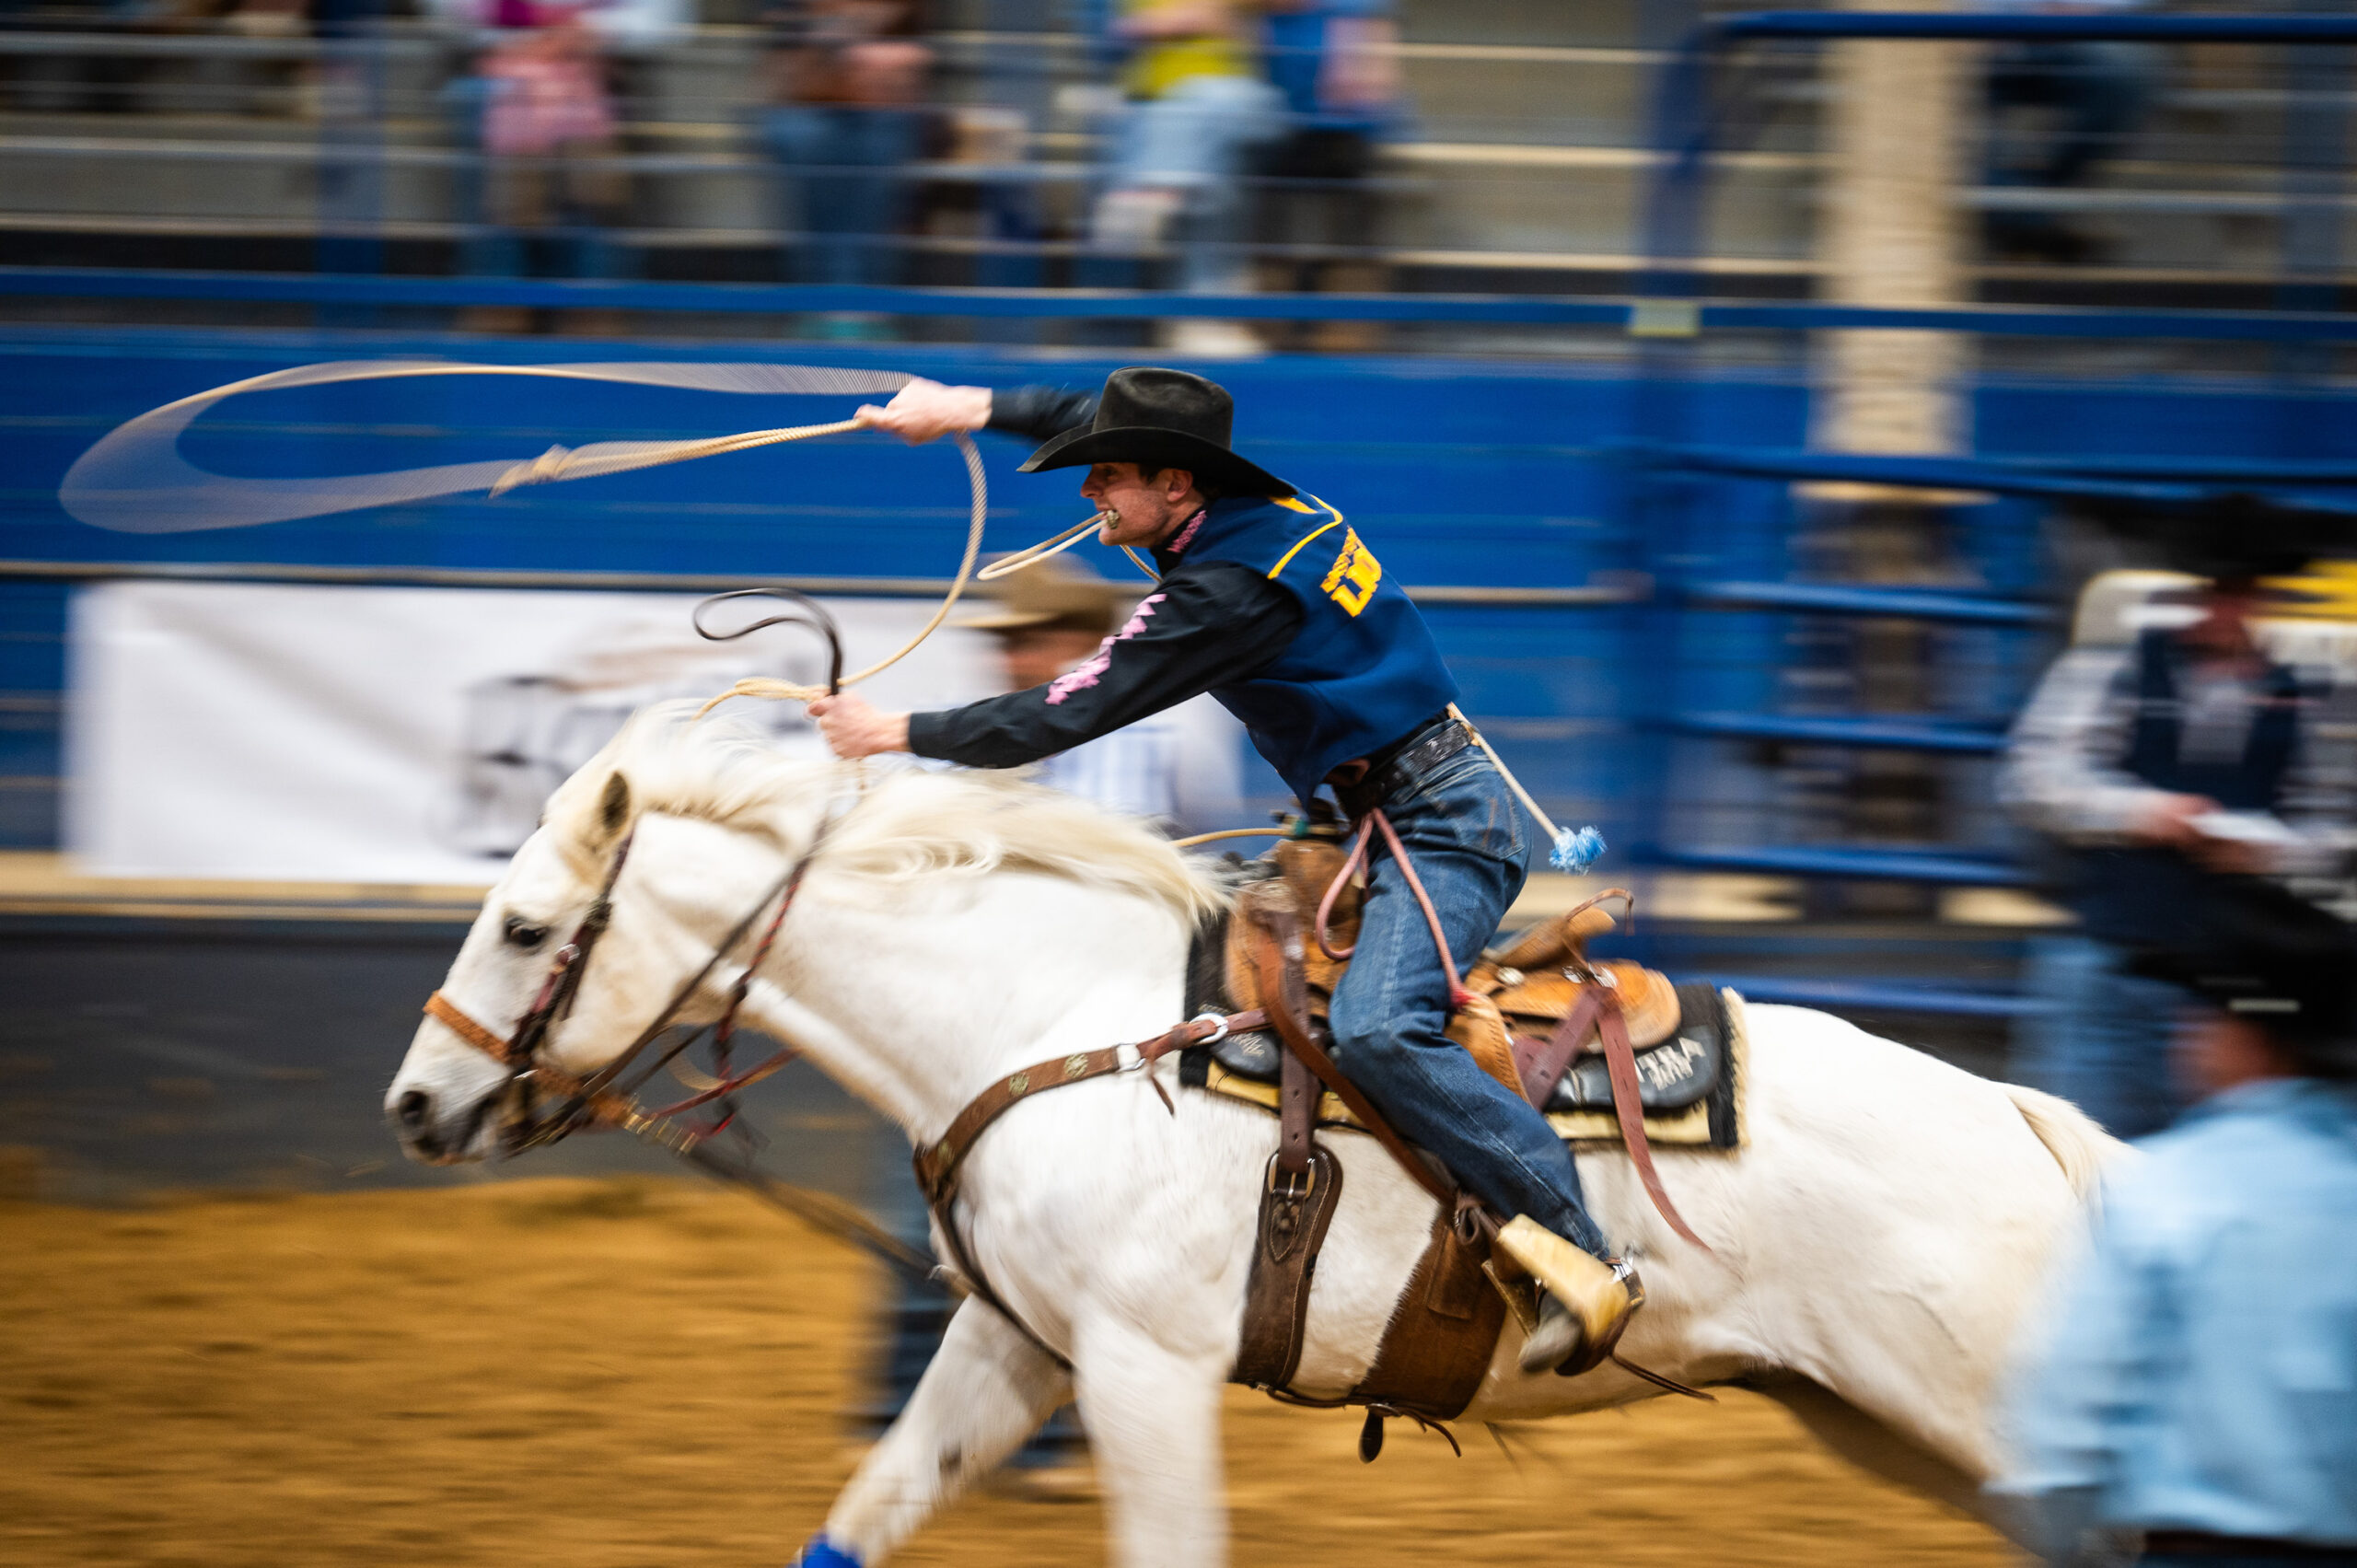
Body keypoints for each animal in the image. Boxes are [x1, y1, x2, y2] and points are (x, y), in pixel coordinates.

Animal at [387, 702, 2122, 1568]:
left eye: (526, 925)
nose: (413, 1102)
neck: (1044, 1020)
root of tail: (2020, 1118)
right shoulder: (1020, 1344)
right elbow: (868, 1510)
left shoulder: (1146, 1367)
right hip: (1890, 1421)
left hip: (1983, 1419)